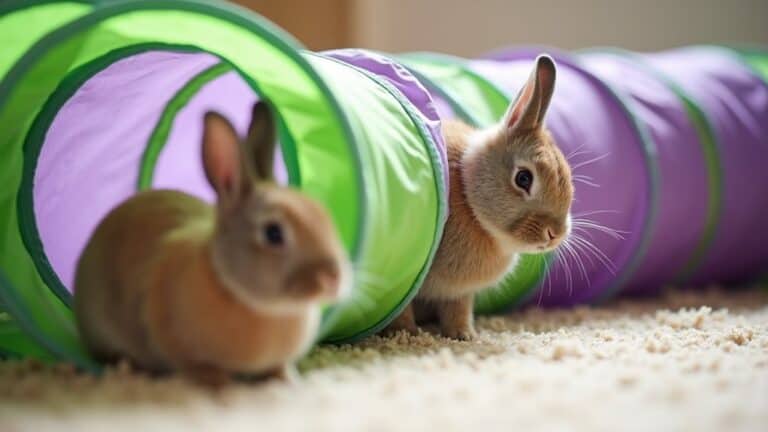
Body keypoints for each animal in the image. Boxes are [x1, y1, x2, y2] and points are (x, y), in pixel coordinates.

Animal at [74, 101, 351, 386]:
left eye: (324, 215)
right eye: (273, 233)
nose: (332, 278)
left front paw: (287, 379)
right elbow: (193, 365)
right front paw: (218, 381)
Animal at [387, 55, 573, 340]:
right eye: (523, 178)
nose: (555, 234)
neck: (469, 198)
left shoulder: (458, 293)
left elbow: (458, 310)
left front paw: (464, 335)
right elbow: (400, 308)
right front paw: (406, 334)